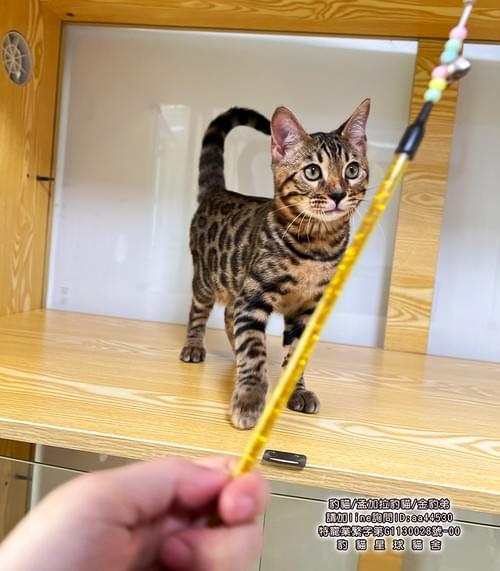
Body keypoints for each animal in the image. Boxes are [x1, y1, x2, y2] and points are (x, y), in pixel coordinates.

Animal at [180, 100, 370, 429]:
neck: (316, 247)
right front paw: (249, 399)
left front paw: (297, 391)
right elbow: (255, 350)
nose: (337, 194)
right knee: (199, 311)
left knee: (230, 316)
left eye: (352, 170)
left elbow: (294, 356)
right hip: (206, 277)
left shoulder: (306, 309)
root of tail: (218, 191)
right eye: (312, 171)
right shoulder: (254, 297)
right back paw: (194, 345)